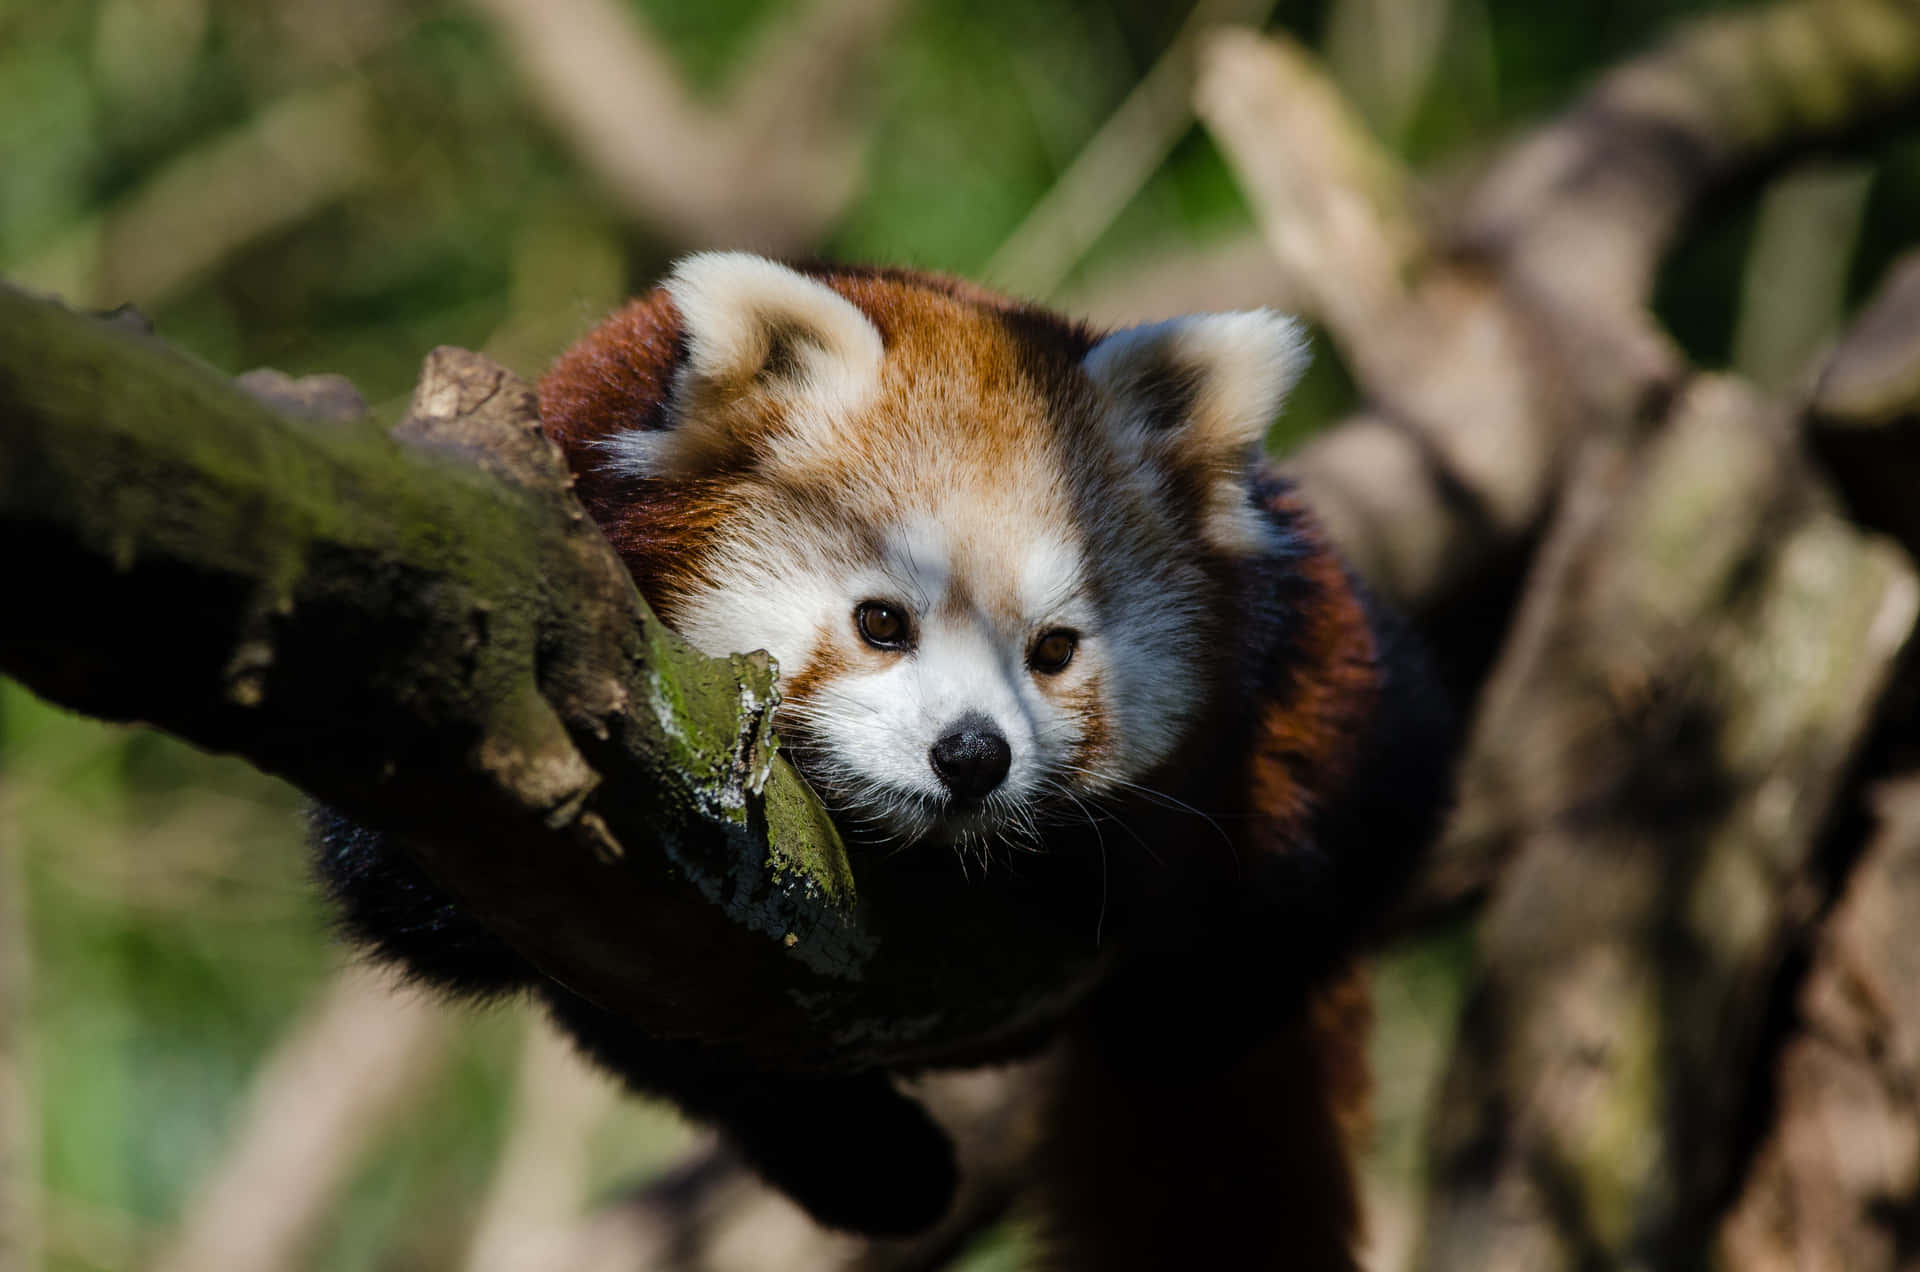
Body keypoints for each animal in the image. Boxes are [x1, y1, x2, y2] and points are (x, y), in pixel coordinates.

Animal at [318, 253, 1451, 1268]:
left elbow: (1360, 816)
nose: (973, 756)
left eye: (1053, 651)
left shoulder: (1301, 645)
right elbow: (415, 894)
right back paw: (872, 1164)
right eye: (881, 622)